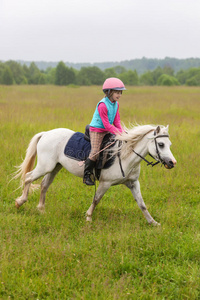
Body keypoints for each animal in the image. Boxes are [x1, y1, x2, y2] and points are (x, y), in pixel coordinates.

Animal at [14, 124, 177, 225]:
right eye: (161, 144)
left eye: (169, 144)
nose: (172, 163)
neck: (125, 155)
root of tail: (46, 133)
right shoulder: (105, 183)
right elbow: (96, 199)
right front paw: (88, 218)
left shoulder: (133, 183)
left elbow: (142, 204)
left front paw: (153, 222)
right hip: (45, 166)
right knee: (28, 177)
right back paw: (20, 201)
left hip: (55, 167)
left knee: (44, 184)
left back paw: (41, 209)